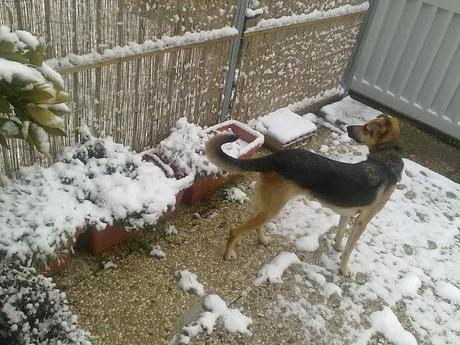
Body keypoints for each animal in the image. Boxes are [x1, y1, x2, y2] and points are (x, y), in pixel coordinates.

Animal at [205, 114, 402, 276]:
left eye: (366, 127)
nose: (348, 128)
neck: (386, 160)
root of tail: (275, 157)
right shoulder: (362, 221)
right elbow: (349, 250)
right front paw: (344, 269)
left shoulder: (347, 213)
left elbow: (340, 236)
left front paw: (337, 247)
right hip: (273, 207)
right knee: (235, 231)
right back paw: (229, 253)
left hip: (268, 204)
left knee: (255, 223)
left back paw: (262, 239)